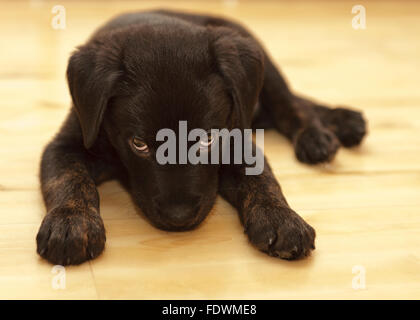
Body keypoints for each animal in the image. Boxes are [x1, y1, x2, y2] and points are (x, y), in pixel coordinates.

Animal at [37, 10, 364, 264]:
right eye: (138, 144)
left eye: (208, 140)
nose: (179, 215)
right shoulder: (68, 141)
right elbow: (69, 180)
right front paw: (71, 222)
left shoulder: (238, 140)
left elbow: (261, 179)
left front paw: (280, 219)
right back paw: (343, 123)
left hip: (265, 68)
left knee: (290, 103)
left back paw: (320, 135)